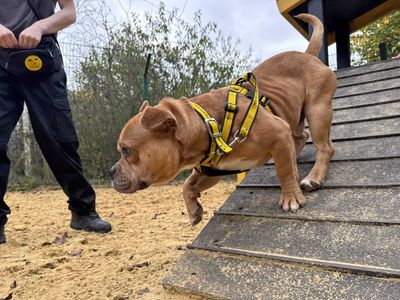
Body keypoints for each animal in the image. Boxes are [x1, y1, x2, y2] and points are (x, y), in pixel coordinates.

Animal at [110, 14, 338, 225]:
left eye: (126, 150)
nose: (111, 171)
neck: (207, 124)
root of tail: (307, 56)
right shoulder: (216, 171)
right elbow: (187, 184)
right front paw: (193, 210)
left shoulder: (278, 130)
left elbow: (284, 171)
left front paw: (290, 197)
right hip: (294, 115)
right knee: (300, 138)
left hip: (317, 111)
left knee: (324, 147)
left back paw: (313, 177)